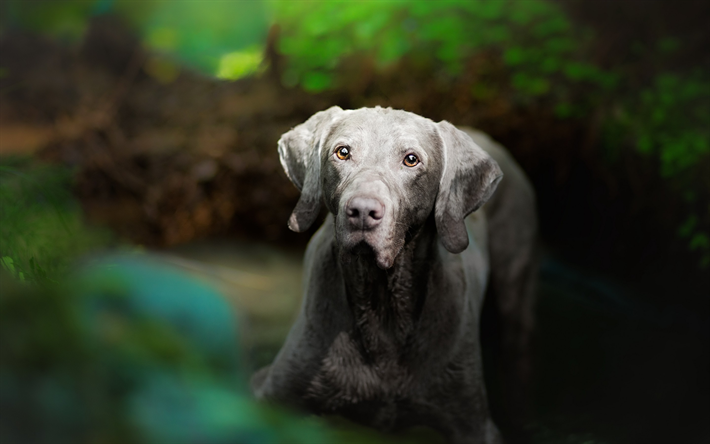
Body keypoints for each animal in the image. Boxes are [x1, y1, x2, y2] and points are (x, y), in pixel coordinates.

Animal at [253, 106, 536, 444]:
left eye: (411, 159)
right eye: (342, 152)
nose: (362, 211)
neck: (383, 309)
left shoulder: (474, 424)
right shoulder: (273, 394)